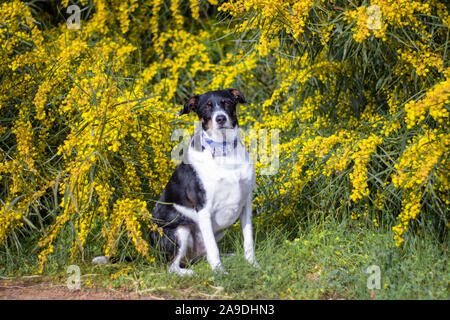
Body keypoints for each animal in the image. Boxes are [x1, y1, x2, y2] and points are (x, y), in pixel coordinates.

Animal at [150, 88, 258, 276]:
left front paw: (253, 264)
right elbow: (213, 249)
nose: (220, 118)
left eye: (227, 102)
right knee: (172, 266)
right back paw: (189, 273)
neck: (223, 150)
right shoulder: (203, 209)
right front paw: (220, 273)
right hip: (180, 230)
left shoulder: (246, 204)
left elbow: (248, 241)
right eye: (206, 107)